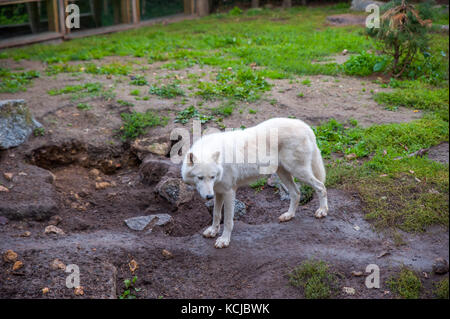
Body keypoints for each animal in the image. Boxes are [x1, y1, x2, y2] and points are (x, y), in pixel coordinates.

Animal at [180, 118, 326, 250]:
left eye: (212, 177)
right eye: (200, 178)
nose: (209, 197)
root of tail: (305, 126)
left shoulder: (229, 192)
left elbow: (227, 220)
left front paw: (224, 240)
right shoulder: (218, 191)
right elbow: (216, 214)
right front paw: (212, 231)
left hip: (298, 172)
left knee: (321, 187)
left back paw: (322, 211)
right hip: (283, 173)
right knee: (296, 193)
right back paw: (289, 215)